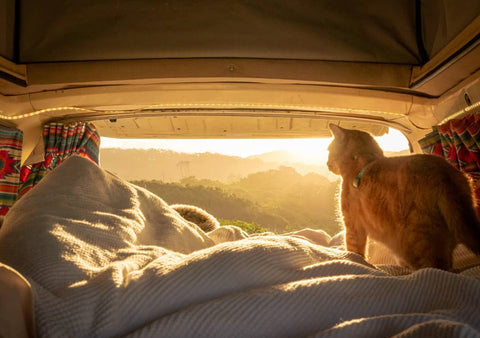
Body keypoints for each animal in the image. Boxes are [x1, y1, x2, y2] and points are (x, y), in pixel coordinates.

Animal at [326, 124, 480, 270]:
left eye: (328, 150)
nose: (327, 164)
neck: (361, 161)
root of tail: (442, 174)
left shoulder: (352, 226)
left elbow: (355, 253)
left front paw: (358, 261)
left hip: (418, 240)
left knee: (436, 268)